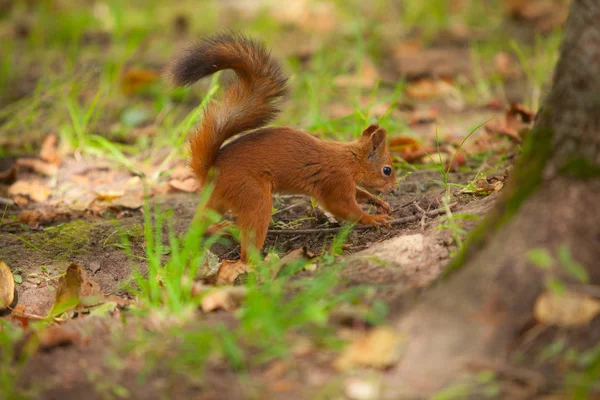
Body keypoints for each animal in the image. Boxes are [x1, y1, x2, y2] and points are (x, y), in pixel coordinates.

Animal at [166, 32, 396, 260]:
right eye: (387, 170)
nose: (394, 188)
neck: (349, 158)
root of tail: (212, 170)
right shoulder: (336, 181)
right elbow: (343, 207)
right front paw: (373, 219)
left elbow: (360, 194)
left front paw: (378, 202)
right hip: (253, 196)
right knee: (247, 245)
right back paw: (254, 262)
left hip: (219, 198)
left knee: (199, 224)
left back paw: (216, 230)